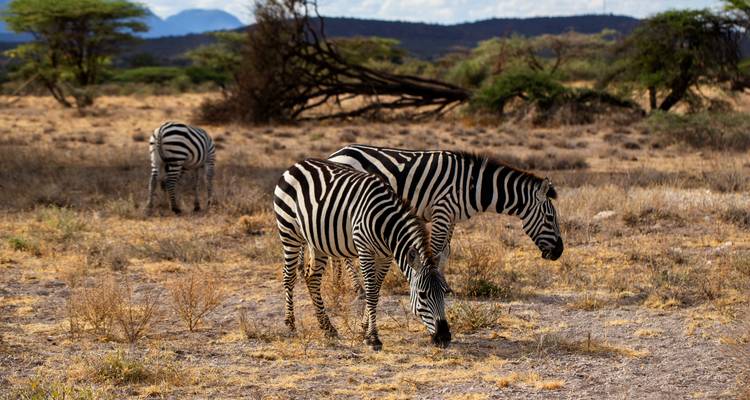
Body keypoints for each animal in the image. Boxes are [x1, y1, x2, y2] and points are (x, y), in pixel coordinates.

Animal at [273, 158, 451, 350]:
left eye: (445, 292)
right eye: (422, 295)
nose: (444, 338)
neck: (386, 225)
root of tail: (297, 164)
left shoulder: (385, 257)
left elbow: (377, 291)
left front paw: (364, 329)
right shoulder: (365, 249)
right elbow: (371, 292)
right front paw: (373, 337)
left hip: (317, 240)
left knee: (312, 278)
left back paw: (327, 328)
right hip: (289, 231)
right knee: (289, 276)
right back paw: (291, 324)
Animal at [328, 145, 564, 294]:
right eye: (550, 218)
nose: (559, 252)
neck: (472, 185)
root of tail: (336, 154)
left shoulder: (452, 217)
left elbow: (446, 251)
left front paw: (446, 286)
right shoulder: (442, 211)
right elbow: (435, 251)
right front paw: (434, 283)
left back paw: (337, 281)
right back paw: (356, 287)